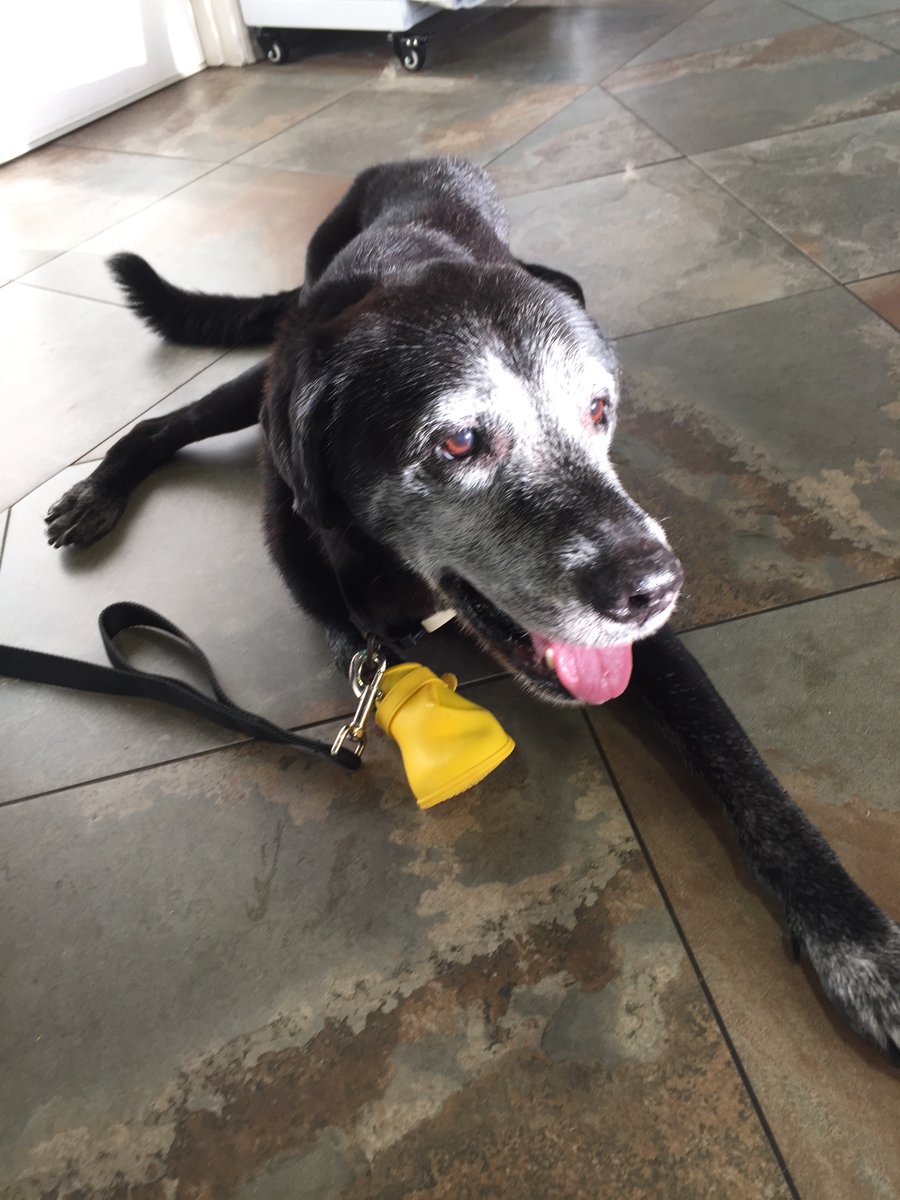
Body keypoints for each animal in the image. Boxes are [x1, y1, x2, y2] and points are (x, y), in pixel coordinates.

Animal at [45, 154, 897, 1065]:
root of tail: (407, 162)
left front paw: (857, 944)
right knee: (166, 422)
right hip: (267, 373)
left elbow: (746, 771)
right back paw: (97, 490)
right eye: (456, 442)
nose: (655, 587)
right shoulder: (343, 609)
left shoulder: (656, 651)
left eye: (600, 411)